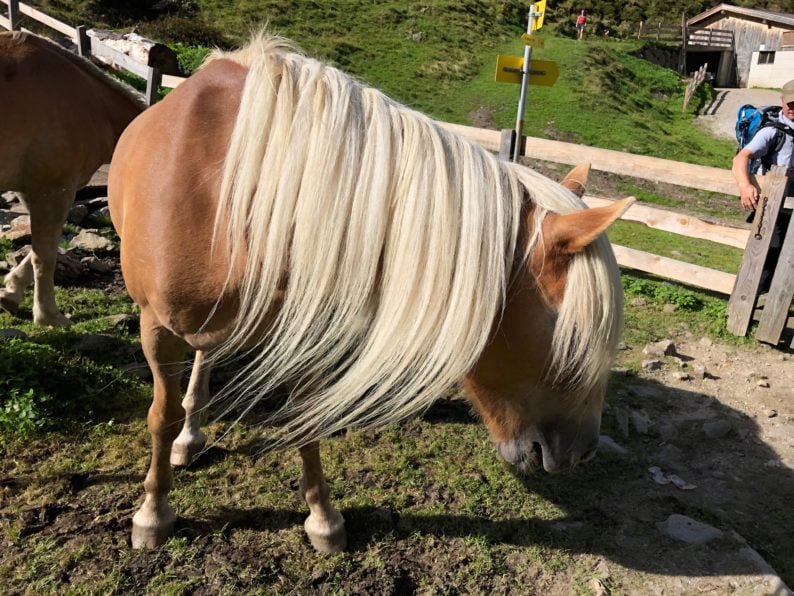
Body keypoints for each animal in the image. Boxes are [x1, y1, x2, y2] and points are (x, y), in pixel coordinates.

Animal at [0, 32, 144, 326]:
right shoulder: (53, 190)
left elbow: (41, 250)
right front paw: (48, 316)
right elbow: (44, 256)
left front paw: (10, 291)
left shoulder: (34, 190)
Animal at [110, 35, 632, 552]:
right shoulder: (156, 326)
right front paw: (153, 513)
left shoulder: (303, 330)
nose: (583, 452)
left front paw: (323, 519)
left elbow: (307, 421)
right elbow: (161, 417)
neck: (237, 198)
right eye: (571, 341)